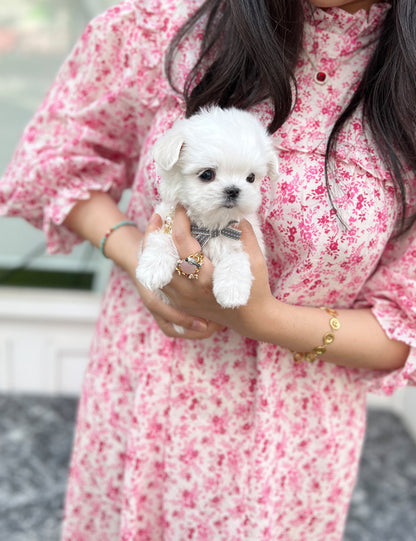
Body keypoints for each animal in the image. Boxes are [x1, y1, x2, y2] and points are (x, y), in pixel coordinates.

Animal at [137, 106, 280, 314]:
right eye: (207, 174)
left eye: (251, 178)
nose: (233, 190)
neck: (210, 227)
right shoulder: (167, 220)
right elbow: (161, 239)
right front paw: (153, 268)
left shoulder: (243, 240)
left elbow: (236, 257)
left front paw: (232, 291)